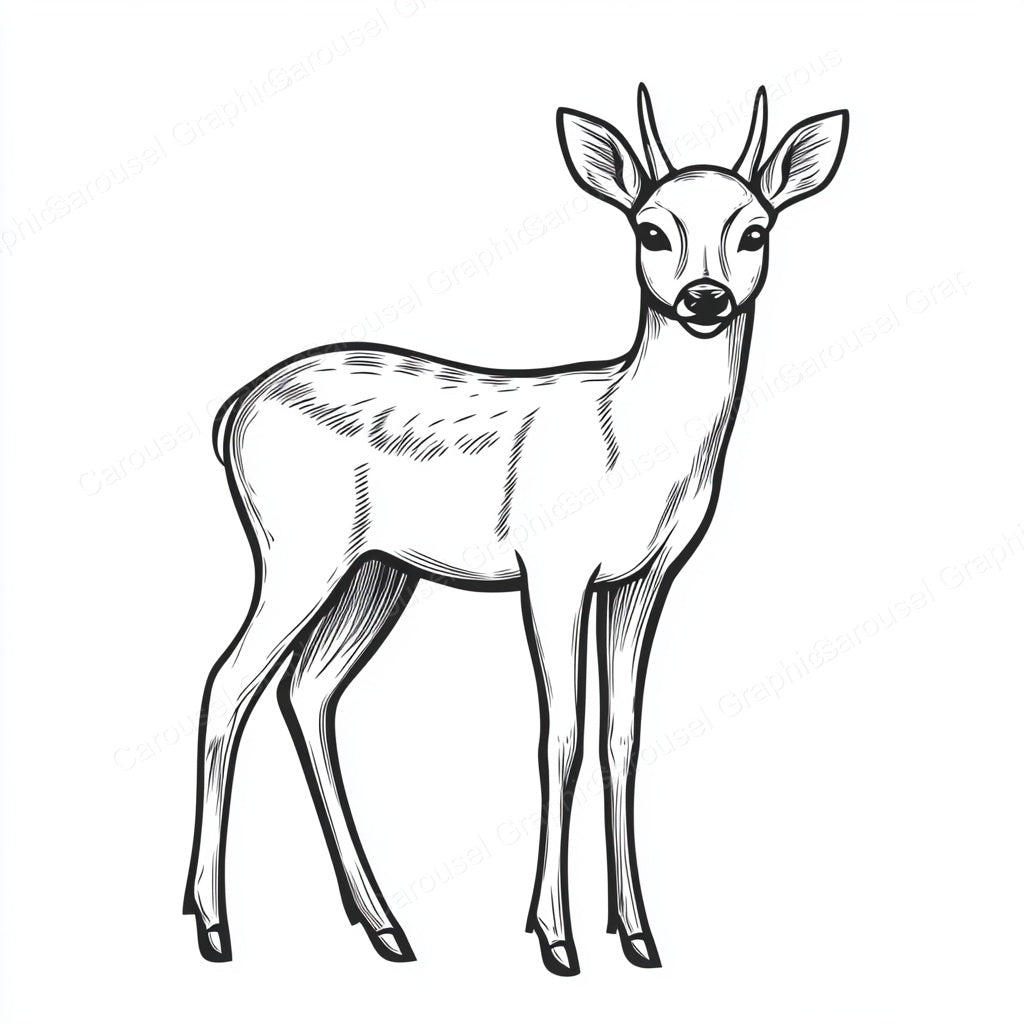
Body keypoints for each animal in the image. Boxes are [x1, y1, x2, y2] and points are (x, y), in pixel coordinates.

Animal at [183, 83, 849, 976]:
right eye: (650, 228)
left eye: (755, 229)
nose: (703, 297)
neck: (632, 439)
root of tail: (233, 413)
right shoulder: (554, 568)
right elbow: (559, 736)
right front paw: (555, 937)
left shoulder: (643, 579)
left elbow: (622, 737)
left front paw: (637, 935)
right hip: (300, 552)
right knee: (228, 683)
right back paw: (214, 926)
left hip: (377, 571)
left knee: (308, 689)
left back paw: (385, 927)